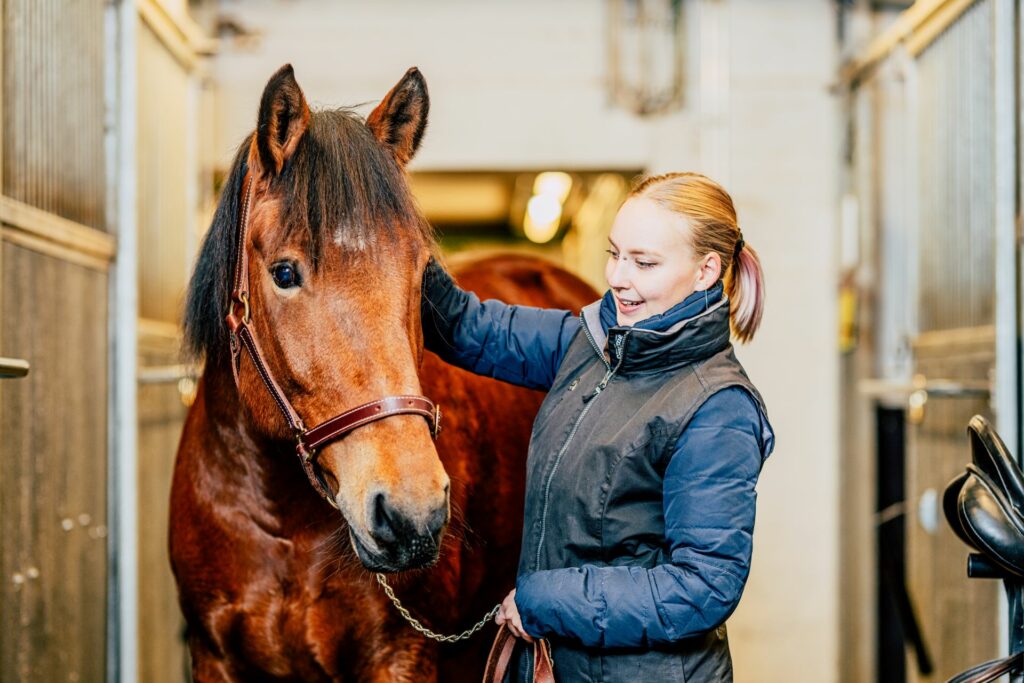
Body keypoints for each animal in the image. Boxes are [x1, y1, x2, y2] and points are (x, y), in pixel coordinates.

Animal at [172, 65, 598, 683]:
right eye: (284, 273)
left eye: (422, 274)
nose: (411, 515)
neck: (284, 524)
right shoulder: (213, 657)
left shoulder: (401, 658)